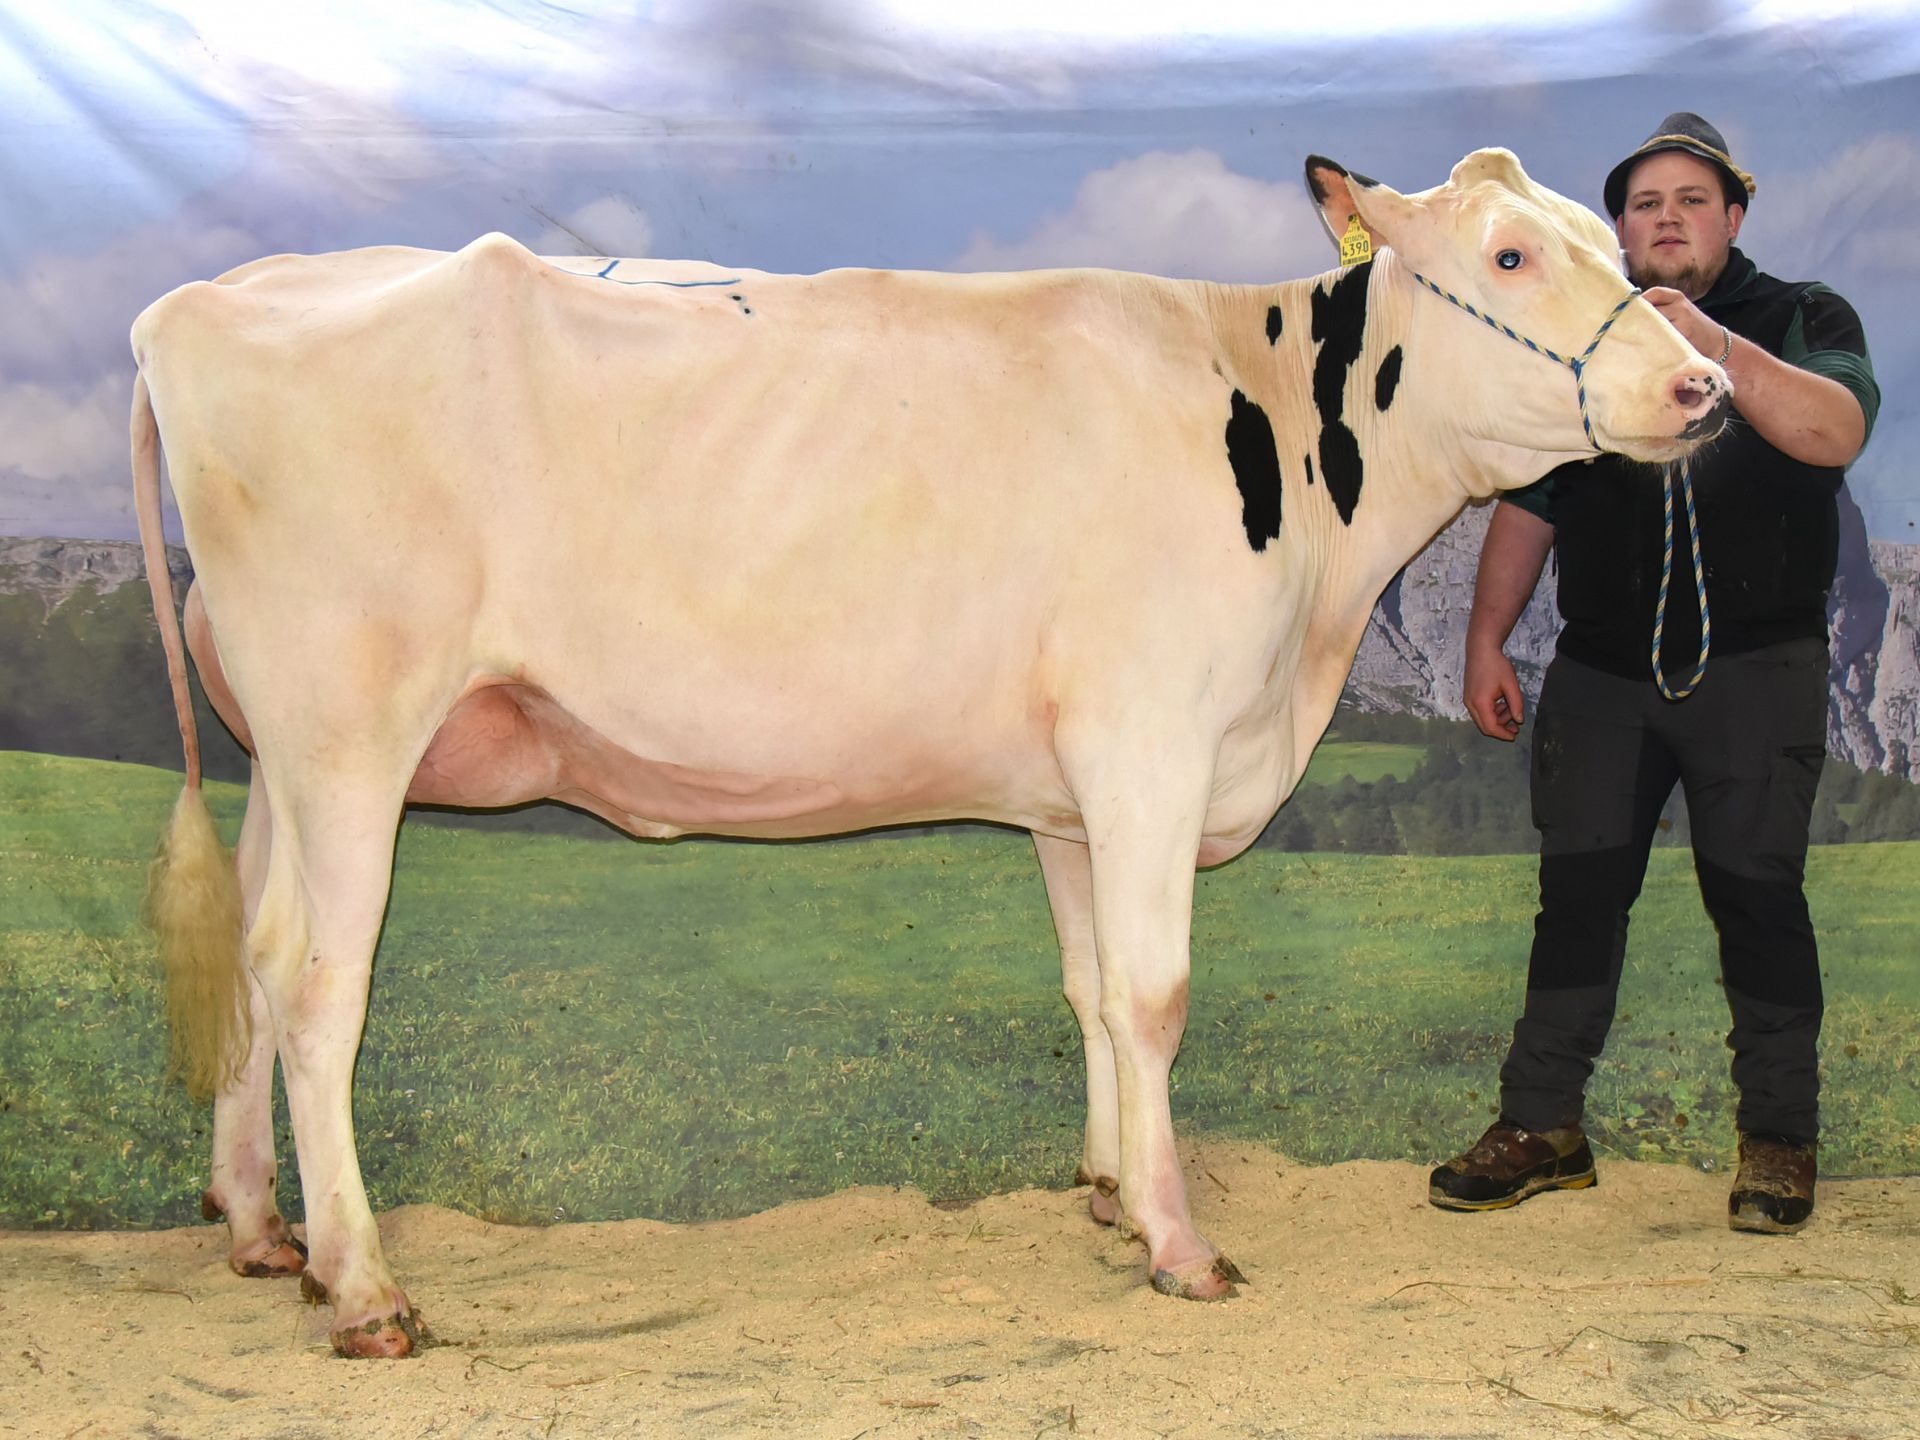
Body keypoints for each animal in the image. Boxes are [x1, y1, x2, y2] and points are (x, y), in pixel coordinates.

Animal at [132, 148, 1727, 1357]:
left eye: (1611, 240)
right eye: (1513, 257)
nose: (1705, 387)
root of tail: (205, 299)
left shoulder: (1075, 798)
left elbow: (1091, 992)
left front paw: (1108, 1187)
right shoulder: (1150, 742)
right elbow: (1155, 995)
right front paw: (1181, 1243)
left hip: (279, 753)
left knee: (254, 964)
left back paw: (260, 1232)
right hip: (352, 731)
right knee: (317, 980)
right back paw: (364, 1287)